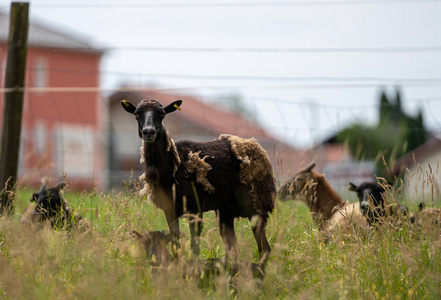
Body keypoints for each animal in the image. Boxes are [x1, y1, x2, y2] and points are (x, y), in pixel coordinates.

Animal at [121, 99, 276, 266]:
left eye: (161, 114)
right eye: (137, 114)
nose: (148, 132)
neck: (172, 168)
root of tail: (257, 146)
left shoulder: (195, 208)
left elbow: (194, 247)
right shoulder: (169, 209)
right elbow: (175, 241)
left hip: (256, 205)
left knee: (264, 249)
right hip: (226, 209)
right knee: (233, 249)